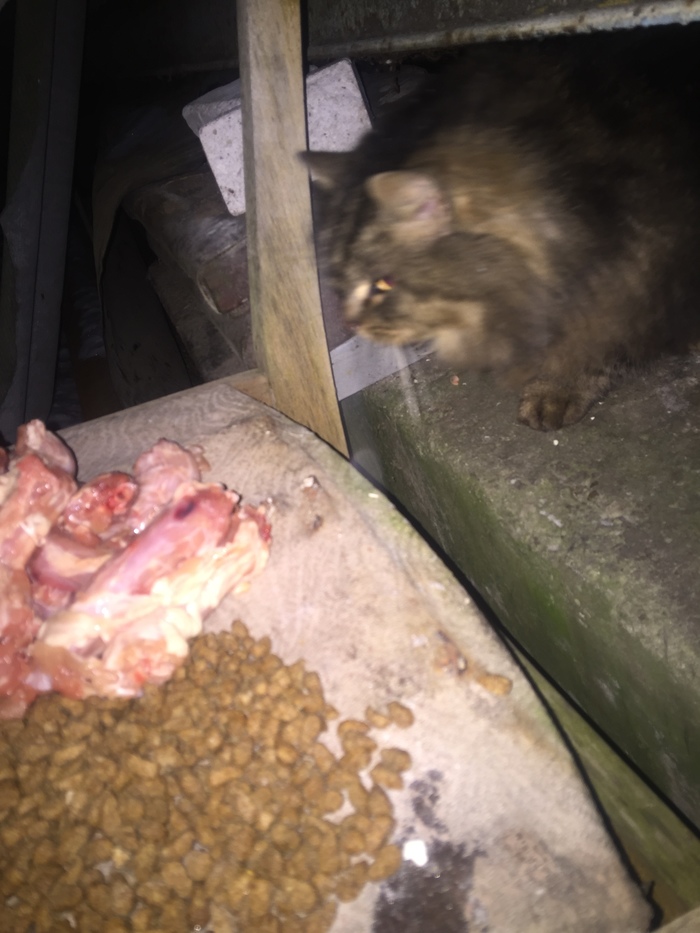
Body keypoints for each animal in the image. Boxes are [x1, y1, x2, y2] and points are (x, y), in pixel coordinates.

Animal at [303, 31, 700, 430]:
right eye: (339, 282)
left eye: (384, 284)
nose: (351, 323)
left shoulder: (635, 277)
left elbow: (595, 342)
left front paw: (561, 385)